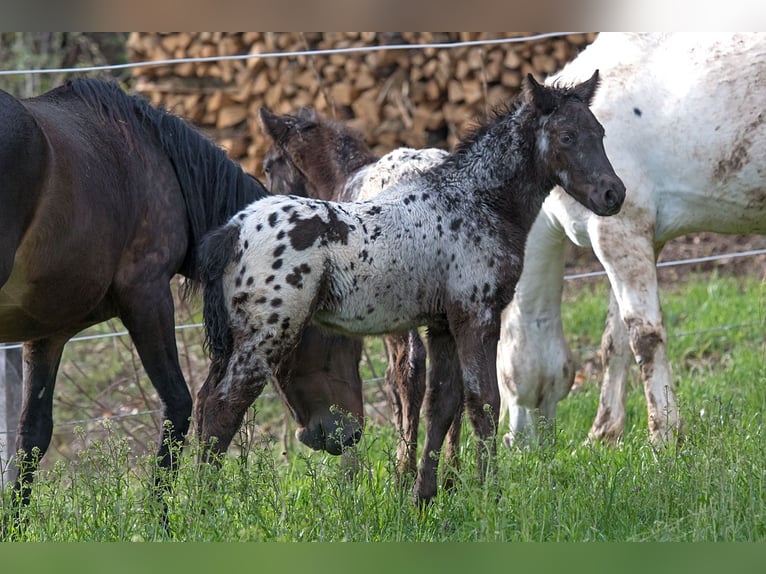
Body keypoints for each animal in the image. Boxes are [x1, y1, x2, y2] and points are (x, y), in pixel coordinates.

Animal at [498, 31, 766, 448]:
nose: (516, 445)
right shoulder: (642, 242)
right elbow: (615, 342)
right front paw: (602, 435)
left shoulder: (620, 233)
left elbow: (644, 337)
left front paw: (664, 435)